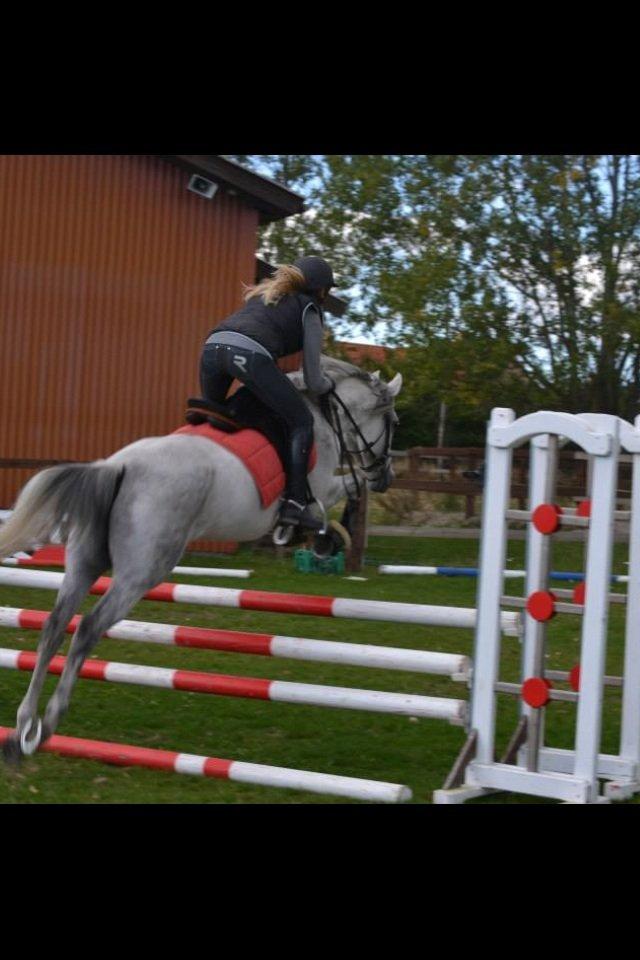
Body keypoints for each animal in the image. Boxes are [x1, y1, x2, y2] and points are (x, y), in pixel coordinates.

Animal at [0, 356, 402, 761]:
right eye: (393, 422)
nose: (385, 475)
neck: (324, 415)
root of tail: (118, 466)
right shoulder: (321, 490)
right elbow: (349, 486)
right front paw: (329, 537)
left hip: (84, 563)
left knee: (54, 625)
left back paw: (24, 728)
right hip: (141, 573)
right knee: (87, 628)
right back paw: (51, 719)